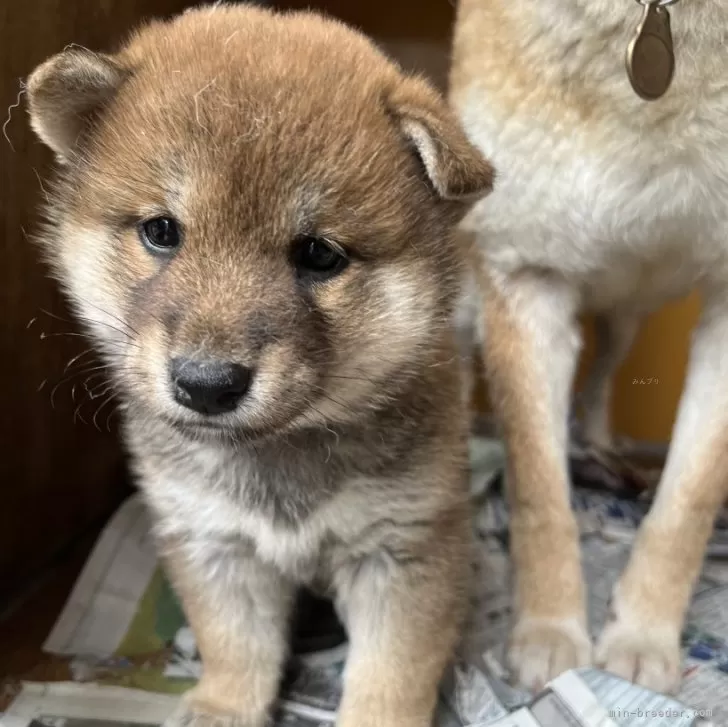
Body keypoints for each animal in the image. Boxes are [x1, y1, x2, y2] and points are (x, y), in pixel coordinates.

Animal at [27, 2, 494, 724]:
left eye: (320, 254)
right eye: (162, 231)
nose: (206, 384)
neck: (277, 459)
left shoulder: (404, 551)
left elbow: (391, 674)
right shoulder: (213, 543)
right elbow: (235, 647)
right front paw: (222, 708)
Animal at [452, 0, 728, 696]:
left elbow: (684, 507)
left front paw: (643, 635)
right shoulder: (525, 276)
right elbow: (540, 495)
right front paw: (548, 630)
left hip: (627, 312)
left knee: (602, 380)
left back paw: (604, 449)